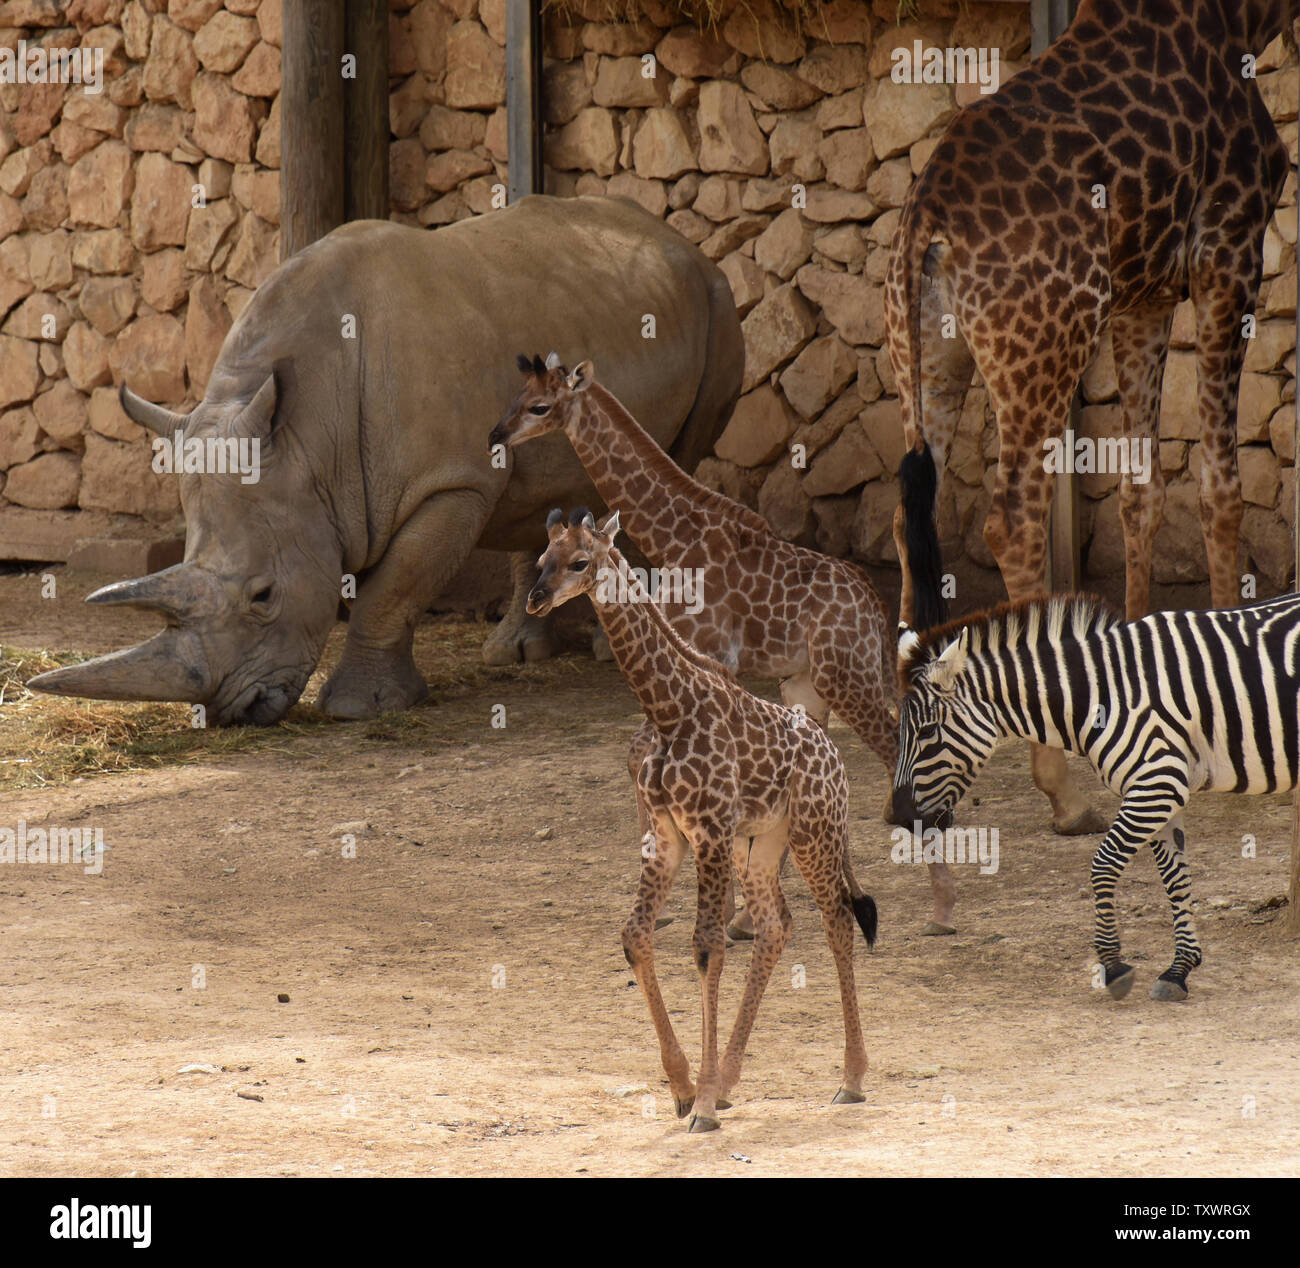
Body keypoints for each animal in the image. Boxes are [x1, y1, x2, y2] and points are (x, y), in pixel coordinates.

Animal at [522, 504, 878, 1128]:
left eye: (580, 561)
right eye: (542, 558)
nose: (536, 599)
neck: (669, 709)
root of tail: (836, 759)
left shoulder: (707, 831)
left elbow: (707, 946)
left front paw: (704, 1104)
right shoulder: (668, 836)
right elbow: (635, 935)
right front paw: (687, 1087)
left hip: (814, 834)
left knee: (836, 921)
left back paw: (851, 1079)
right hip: (759, 845)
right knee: (777, 925)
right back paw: (735, 1080)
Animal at [883, 0, 1289, 832]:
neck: (1247, 19)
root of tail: (925, 220)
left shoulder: (1146, 294)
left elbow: (1141, 493)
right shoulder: (1229, 250)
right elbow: (1220, 486)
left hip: (926, 359)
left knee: (911, 516)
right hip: (1044, 348)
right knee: (1012, 522)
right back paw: (1062, 794)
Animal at [883, 593, 1300, 1003]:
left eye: (927, 731)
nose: (901, 817)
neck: (1099, 695)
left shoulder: (1155, 784)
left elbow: (1103, 865)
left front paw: (1113, 966)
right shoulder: (1164, 790)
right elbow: (1175, 878)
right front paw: (1179, 969)